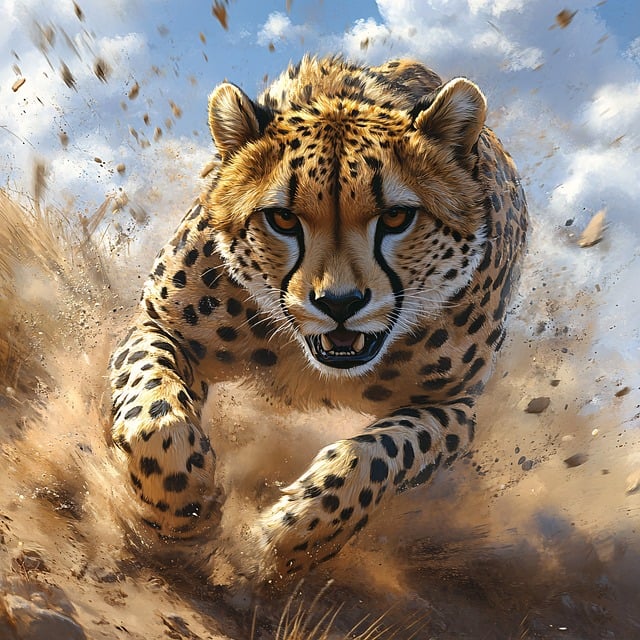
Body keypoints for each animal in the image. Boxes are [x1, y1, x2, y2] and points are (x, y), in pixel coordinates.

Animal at [108, 55, 528, 584]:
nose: (340, 303)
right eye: (283, 219)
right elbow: (152, 410)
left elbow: (381, 454)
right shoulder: (160, 324)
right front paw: (182, 504)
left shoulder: (455, 405)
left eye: (397, 218)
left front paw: (295, 535)